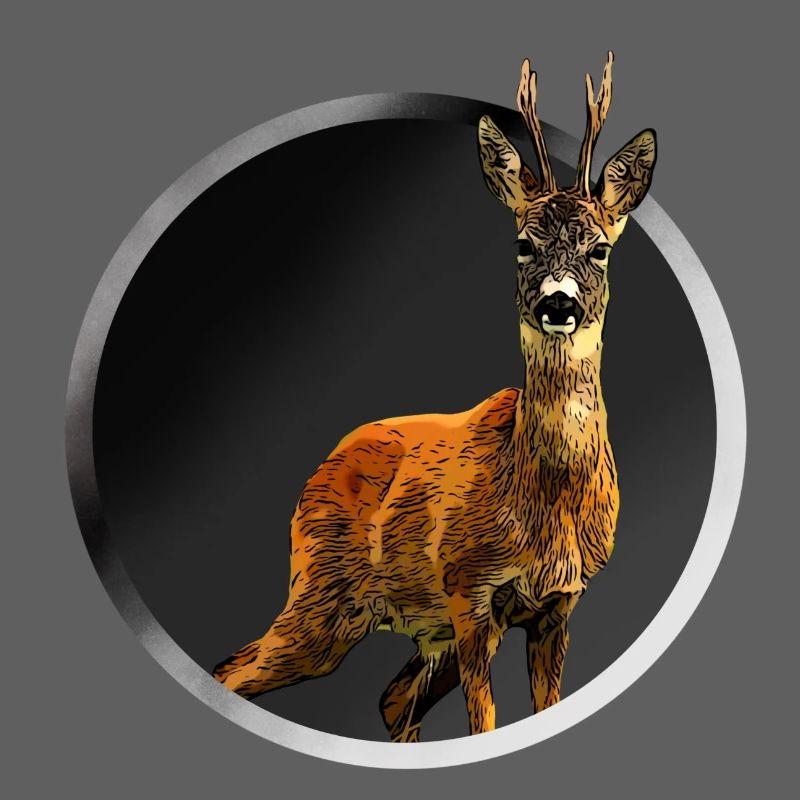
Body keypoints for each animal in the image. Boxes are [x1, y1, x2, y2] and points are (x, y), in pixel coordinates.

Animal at [212, 51, 656, 741]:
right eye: (522, 243)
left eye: (600, 248)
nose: (558, 304)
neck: (542, 503)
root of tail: (320, 468)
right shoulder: (468, 589)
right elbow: (486, 723)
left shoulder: (558, 605)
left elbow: (542, 706)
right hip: (321, 595)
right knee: (235, 670)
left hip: (408, 624)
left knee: (391, 698)